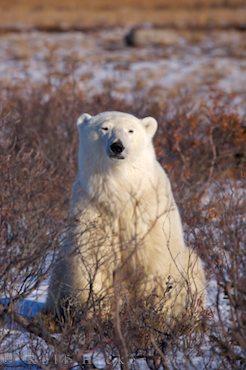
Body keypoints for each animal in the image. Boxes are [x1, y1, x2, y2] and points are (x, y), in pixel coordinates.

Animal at [46, 111, 206, 322]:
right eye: (104, 128)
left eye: (131, 130)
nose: (117, 146)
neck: (120, 190)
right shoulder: (93, 209)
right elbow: (94, 260)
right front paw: (99, 314)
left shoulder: (146, 215)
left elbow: (153, 264)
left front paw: (154, 314)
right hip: (61, 265)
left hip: (188, 263)